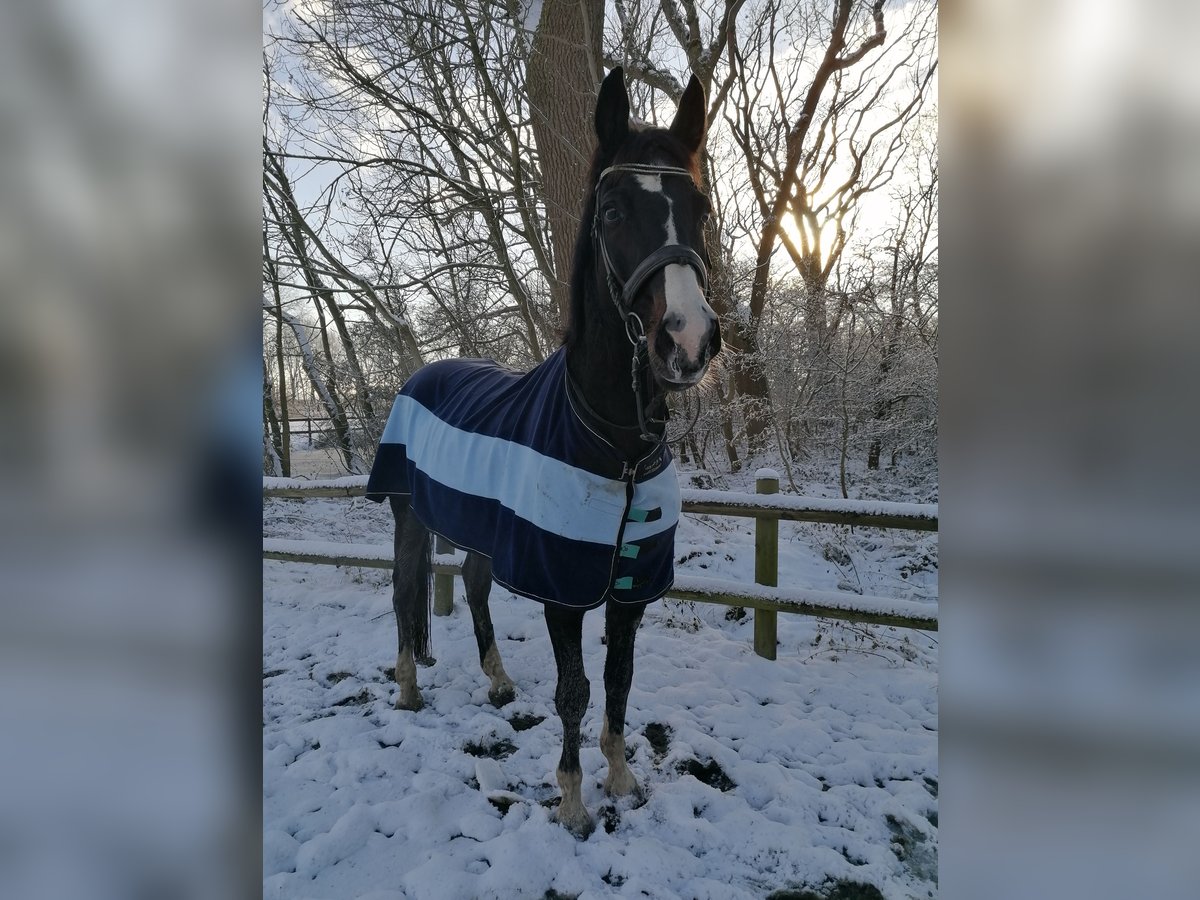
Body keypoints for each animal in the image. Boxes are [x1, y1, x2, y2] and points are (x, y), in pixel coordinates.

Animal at [362, 66, 720, 835]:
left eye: (699, 208)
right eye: (612, 210)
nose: (687, 340)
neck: (614, 442)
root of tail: (422, 373)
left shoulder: (629, 586)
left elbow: (619, 679)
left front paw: (620, 778)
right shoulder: (563, 584)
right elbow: (576, 690)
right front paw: (574, 801)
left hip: (481, 527)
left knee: (472, 584)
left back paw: (498, 682)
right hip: (408, 515)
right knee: (405, 590)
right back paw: (406, 689)